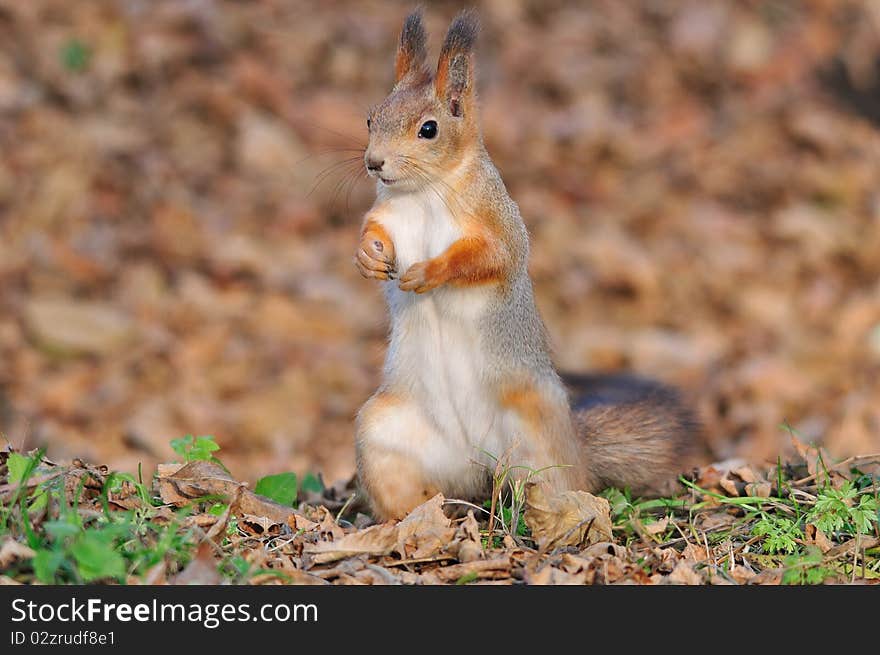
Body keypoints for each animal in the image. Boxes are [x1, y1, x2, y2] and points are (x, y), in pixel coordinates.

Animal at [354, 9, 696, 524]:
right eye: (371, 116)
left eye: (428, 129)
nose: (375, 163)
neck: (425, 192)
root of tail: (473, 459)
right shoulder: (390, 215)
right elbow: (373, 231)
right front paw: (368, 259)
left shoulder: (498, 224)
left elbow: (488, 257)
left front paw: (429, 272)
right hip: (385, 434)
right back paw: (410, 518)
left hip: (536, 429)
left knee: (562, 484)